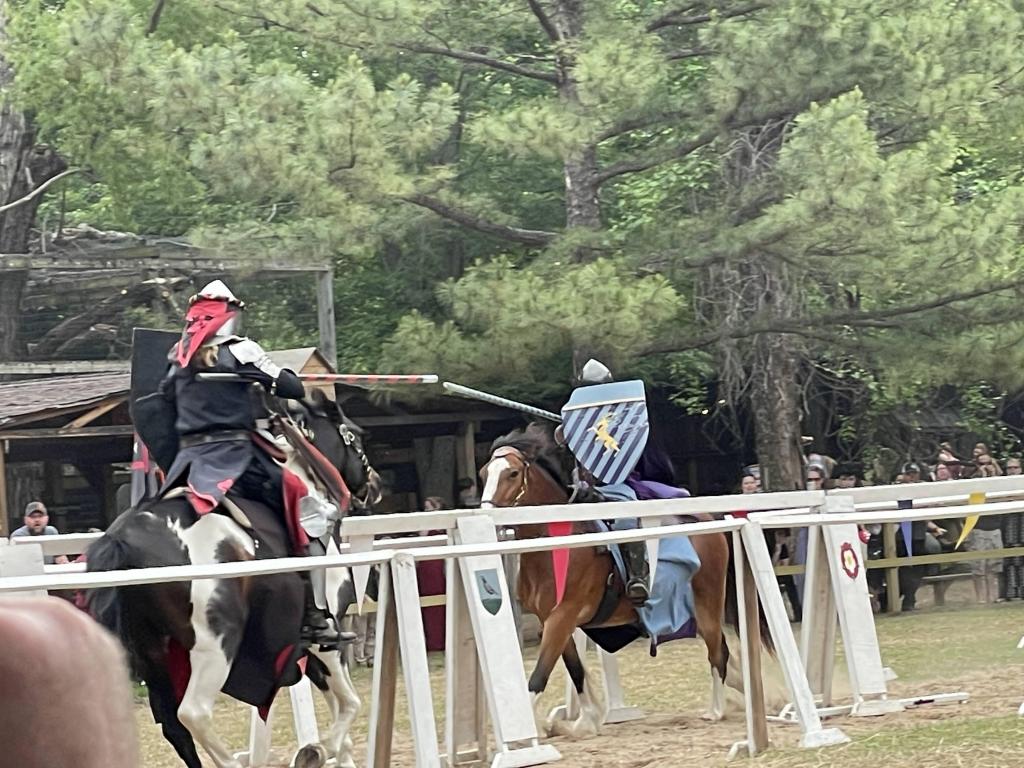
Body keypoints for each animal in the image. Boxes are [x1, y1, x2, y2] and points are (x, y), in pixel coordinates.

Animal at [86, 388, 382, 768]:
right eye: (356, 436)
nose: (375, 484)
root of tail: (122, 540)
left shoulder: (304, 651)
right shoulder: (326, 642)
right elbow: (350, 704)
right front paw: (315, 751)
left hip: (154, 658)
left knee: (175, 729)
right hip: (215, 645)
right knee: (193, 713)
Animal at [479, 423, 772, 737]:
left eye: (512, 473)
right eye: (484, 473)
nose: (485, 515)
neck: (557, 545)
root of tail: (709, 520)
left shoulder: (563, 616)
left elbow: (538, 676)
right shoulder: (552, 620)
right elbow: (575, 670)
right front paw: (586, 721)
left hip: (708, 602)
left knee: (718, 652)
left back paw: (715, 711)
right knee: (723, 651)